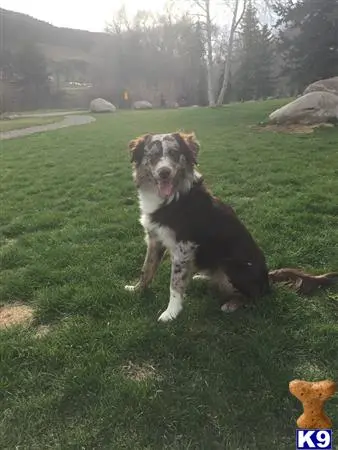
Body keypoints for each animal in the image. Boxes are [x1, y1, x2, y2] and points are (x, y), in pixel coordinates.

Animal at [125, 132, 338, 322]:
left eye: (174, 153)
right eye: (153, 156)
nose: (164, 172)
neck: (172, 197)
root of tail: (267, 278)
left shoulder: (183, 247)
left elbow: (175, 283)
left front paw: (171, 312)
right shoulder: (154, 239)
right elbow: (147, 269)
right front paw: (137, 290)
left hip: (231, 264)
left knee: (256, 296)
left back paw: (232, 303)